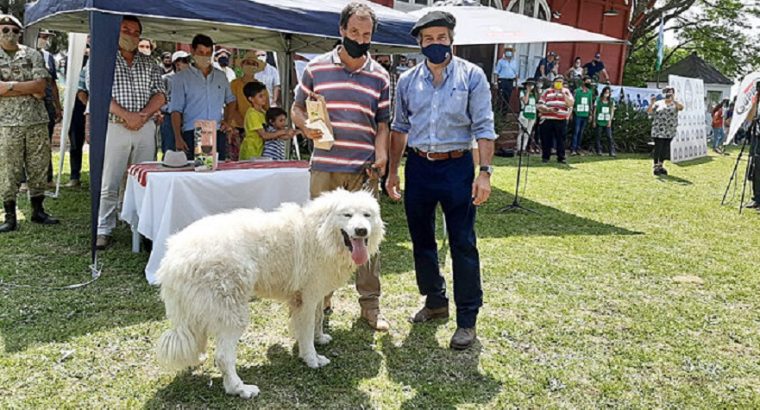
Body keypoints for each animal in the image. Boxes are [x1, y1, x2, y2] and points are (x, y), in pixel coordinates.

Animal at [154, 188, 382, 398]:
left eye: (367, 215)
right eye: (347, 215)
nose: (361, 230)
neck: (320, 233)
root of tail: (172, 258)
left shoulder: (314, 294)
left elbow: (317, 319)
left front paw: (320, 338)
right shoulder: (307, 299)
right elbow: (307, 330)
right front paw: (312, 358)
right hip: (232, 313)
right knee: (222, 357)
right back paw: (240, 389)